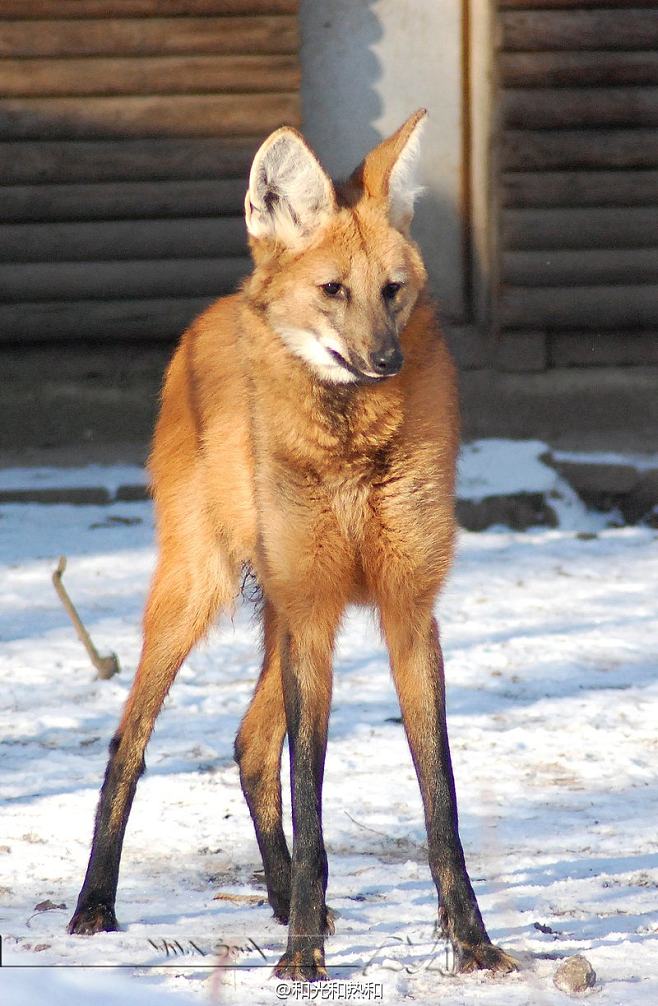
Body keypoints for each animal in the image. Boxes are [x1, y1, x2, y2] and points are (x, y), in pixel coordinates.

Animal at [68, 112, 519, 981]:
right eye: (333, 290)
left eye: (392, 290)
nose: (386, 359)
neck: (350, 444)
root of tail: (217, 310)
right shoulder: (315, 609)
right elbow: (312, 803)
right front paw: (303, 958)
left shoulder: (404, 611)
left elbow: (439, 803)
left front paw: (472, 942)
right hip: (202, 590)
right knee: (128, 741)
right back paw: (96, 905)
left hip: (285, 612)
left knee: (249, 744)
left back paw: (278, 901)